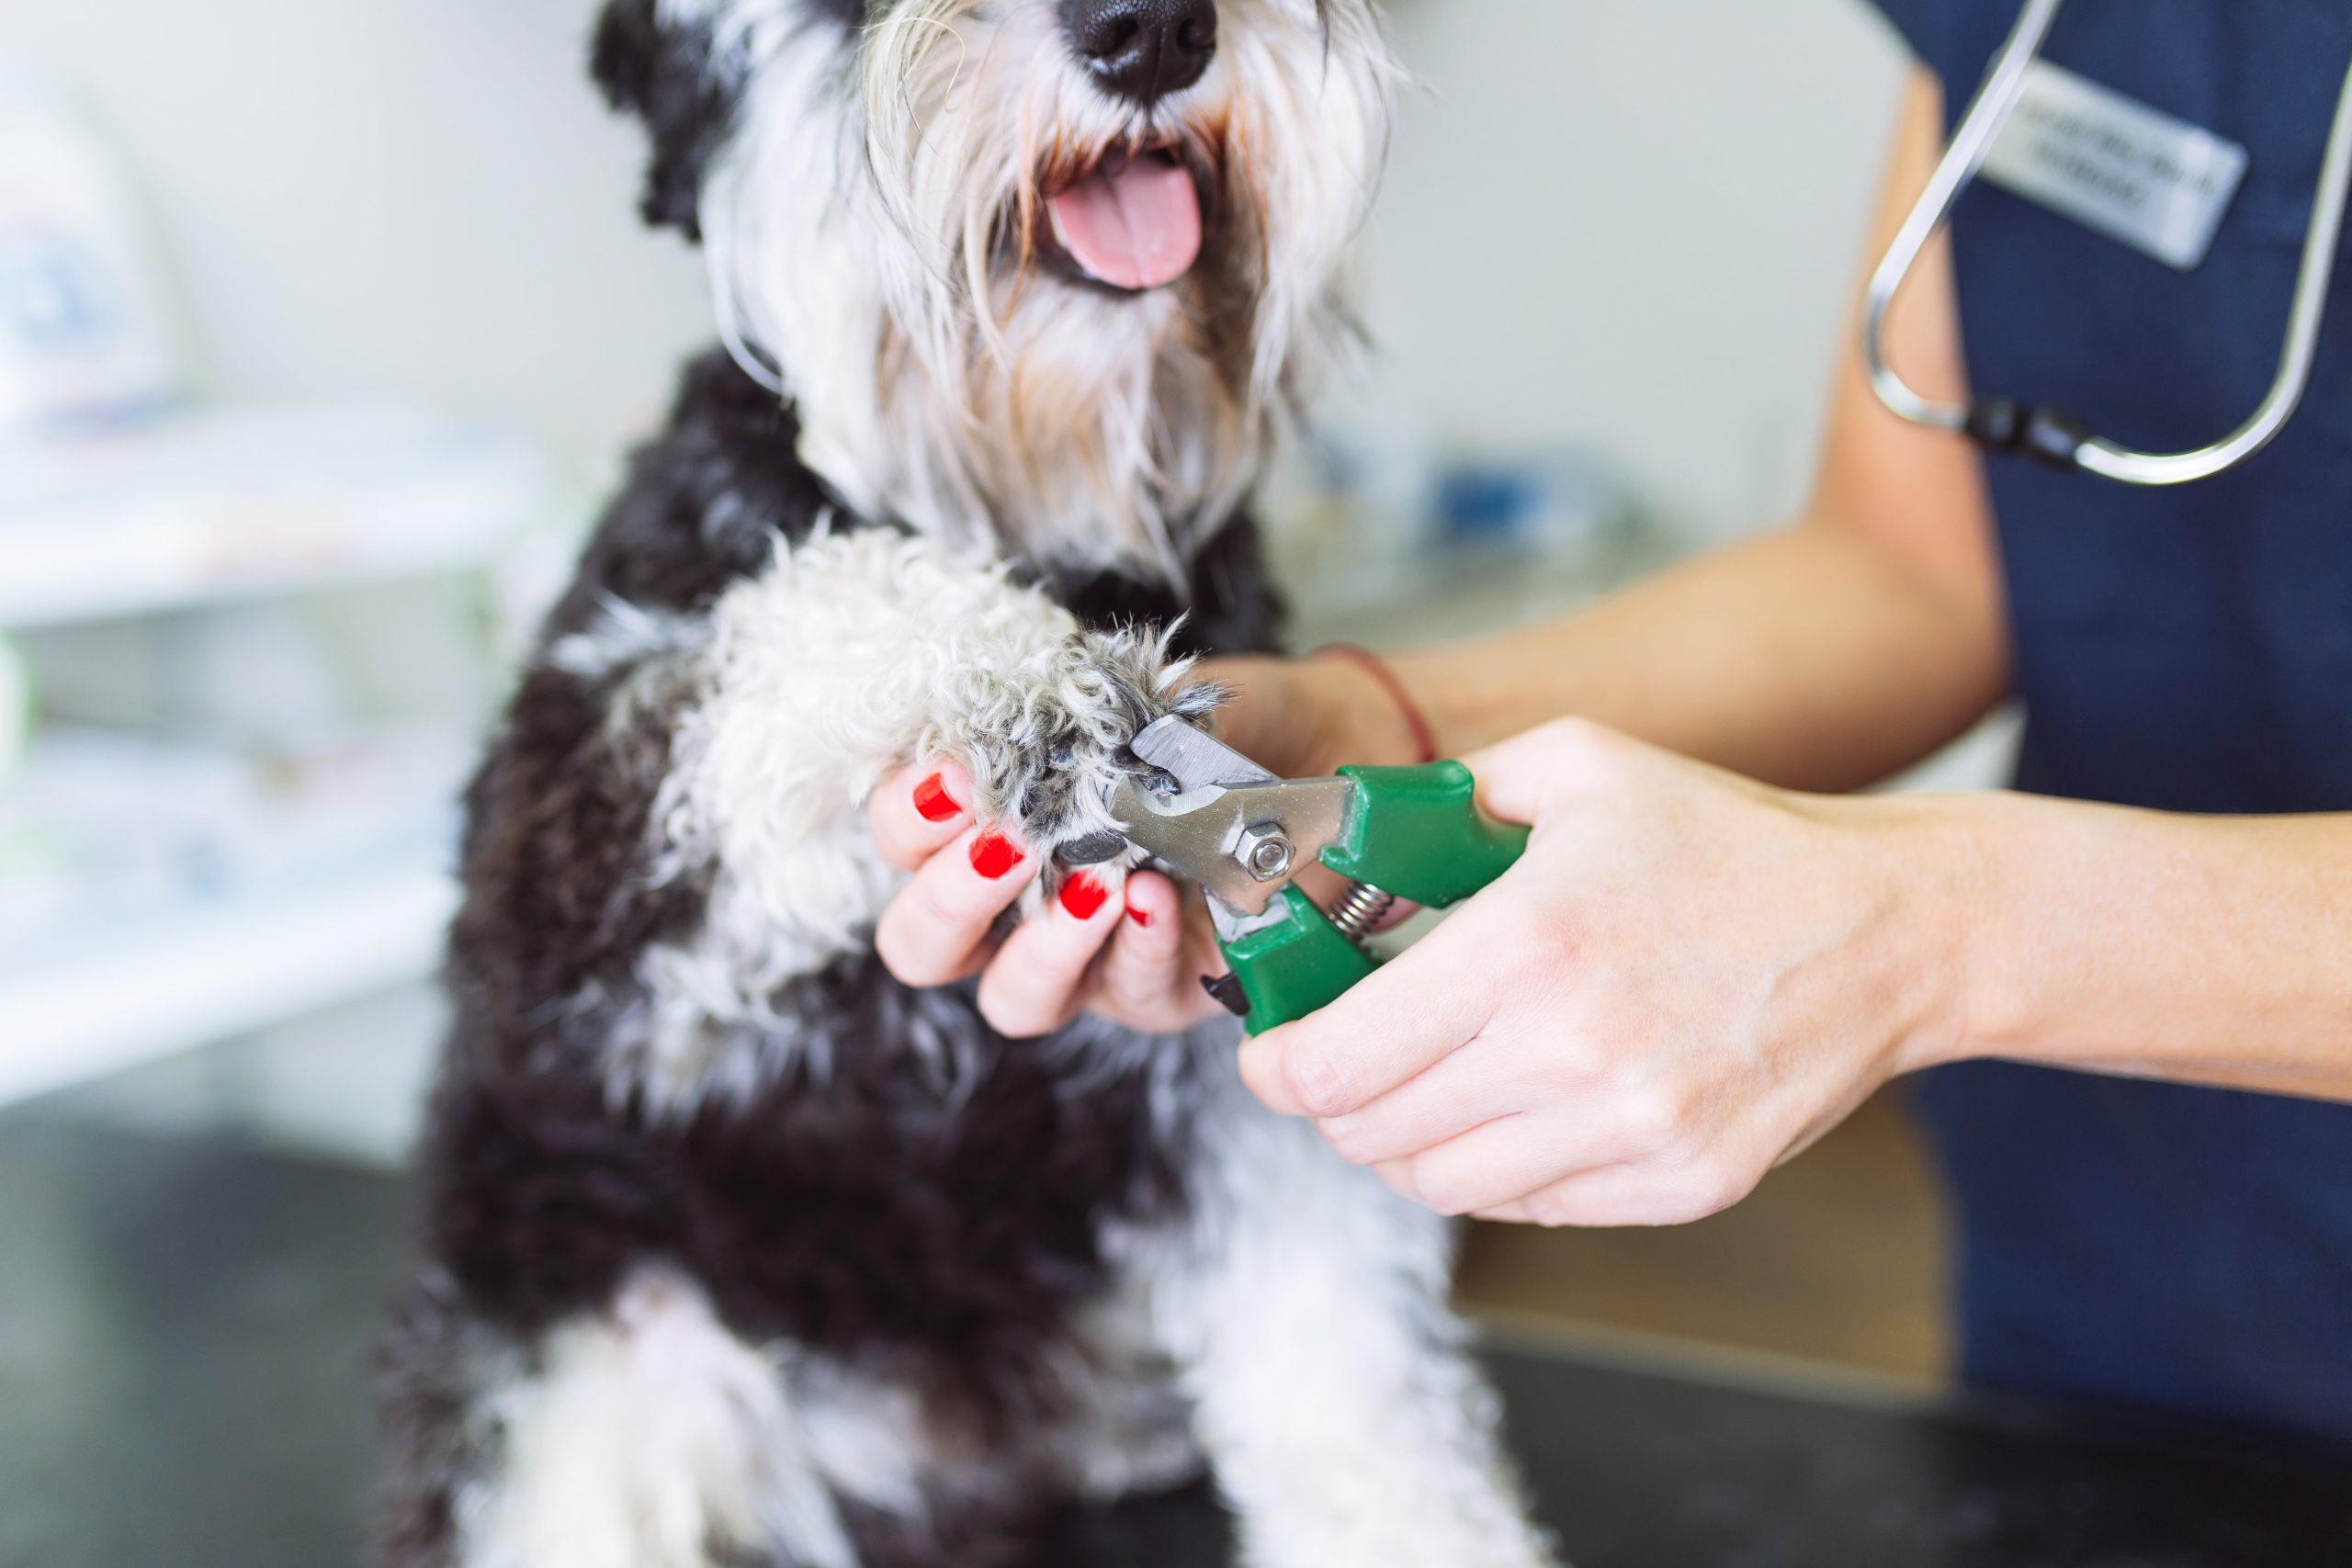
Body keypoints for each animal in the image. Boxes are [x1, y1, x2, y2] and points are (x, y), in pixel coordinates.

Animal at [376, 3, 1552, 1568]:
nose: (1149, 31)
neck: (1030, 503)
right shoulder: (575, 866)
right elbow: (821, 604)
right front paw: (1029, 689)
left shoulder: (1241, 1094)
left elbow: (1359, 1392)